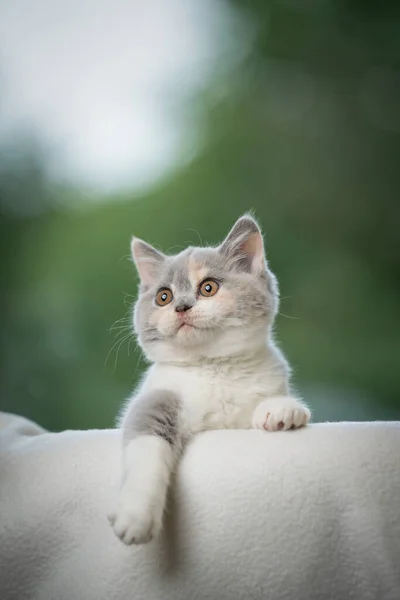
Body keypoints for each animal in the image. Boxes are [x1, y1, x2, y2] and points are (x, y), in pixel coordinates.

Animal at [108, 214, 310, 544]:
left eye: (208, 288)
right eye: (164, 297)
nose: (181, 307)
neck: (213, 367)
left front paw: (282, 410)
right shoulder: (155, 397)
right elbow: (146, 444)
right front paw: (136, 515)